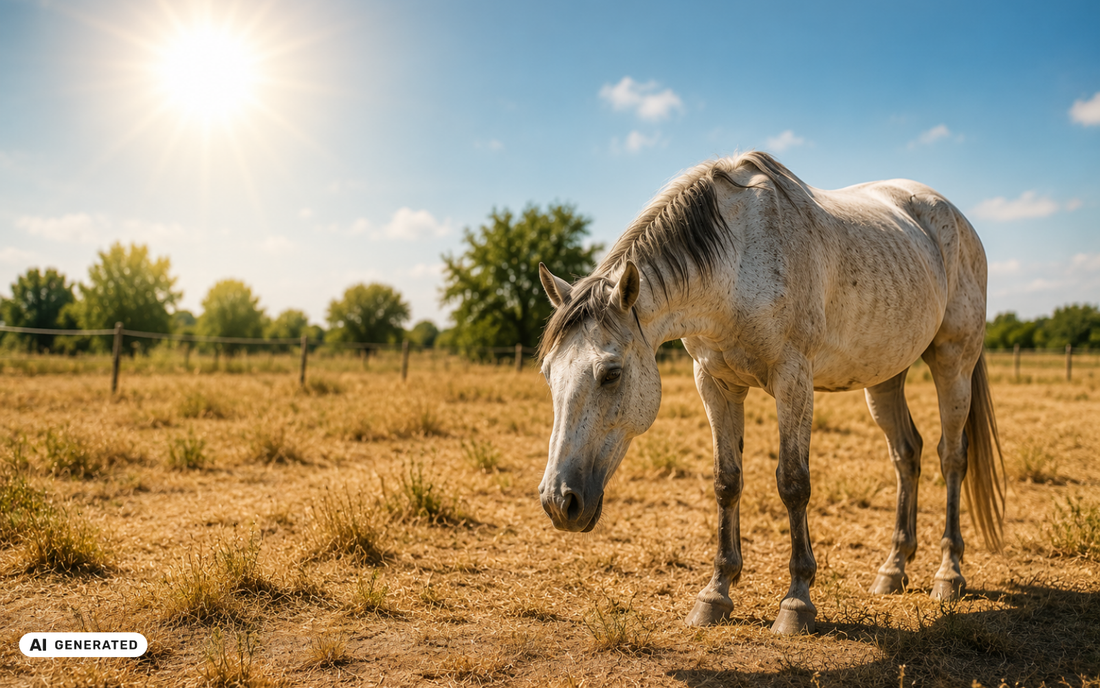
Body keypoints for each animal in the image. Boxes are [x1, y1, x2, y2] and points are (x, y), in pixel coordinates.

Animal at [535, 151, 1004, 634]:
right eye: (548, 373)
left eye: (611, 374)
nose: (559, 502)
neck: (736, 260)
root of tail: (953, 216)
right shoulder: (715, 383)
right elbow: (727, 482)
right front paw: (716, 593)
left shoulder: (792, 378)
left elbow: (793, 483)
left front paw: (797, 602)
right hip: (885, 376)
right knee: (907, 455)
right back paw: (893, 569)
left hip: (953, 362)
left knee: (952, 458)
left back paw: (949, 574)